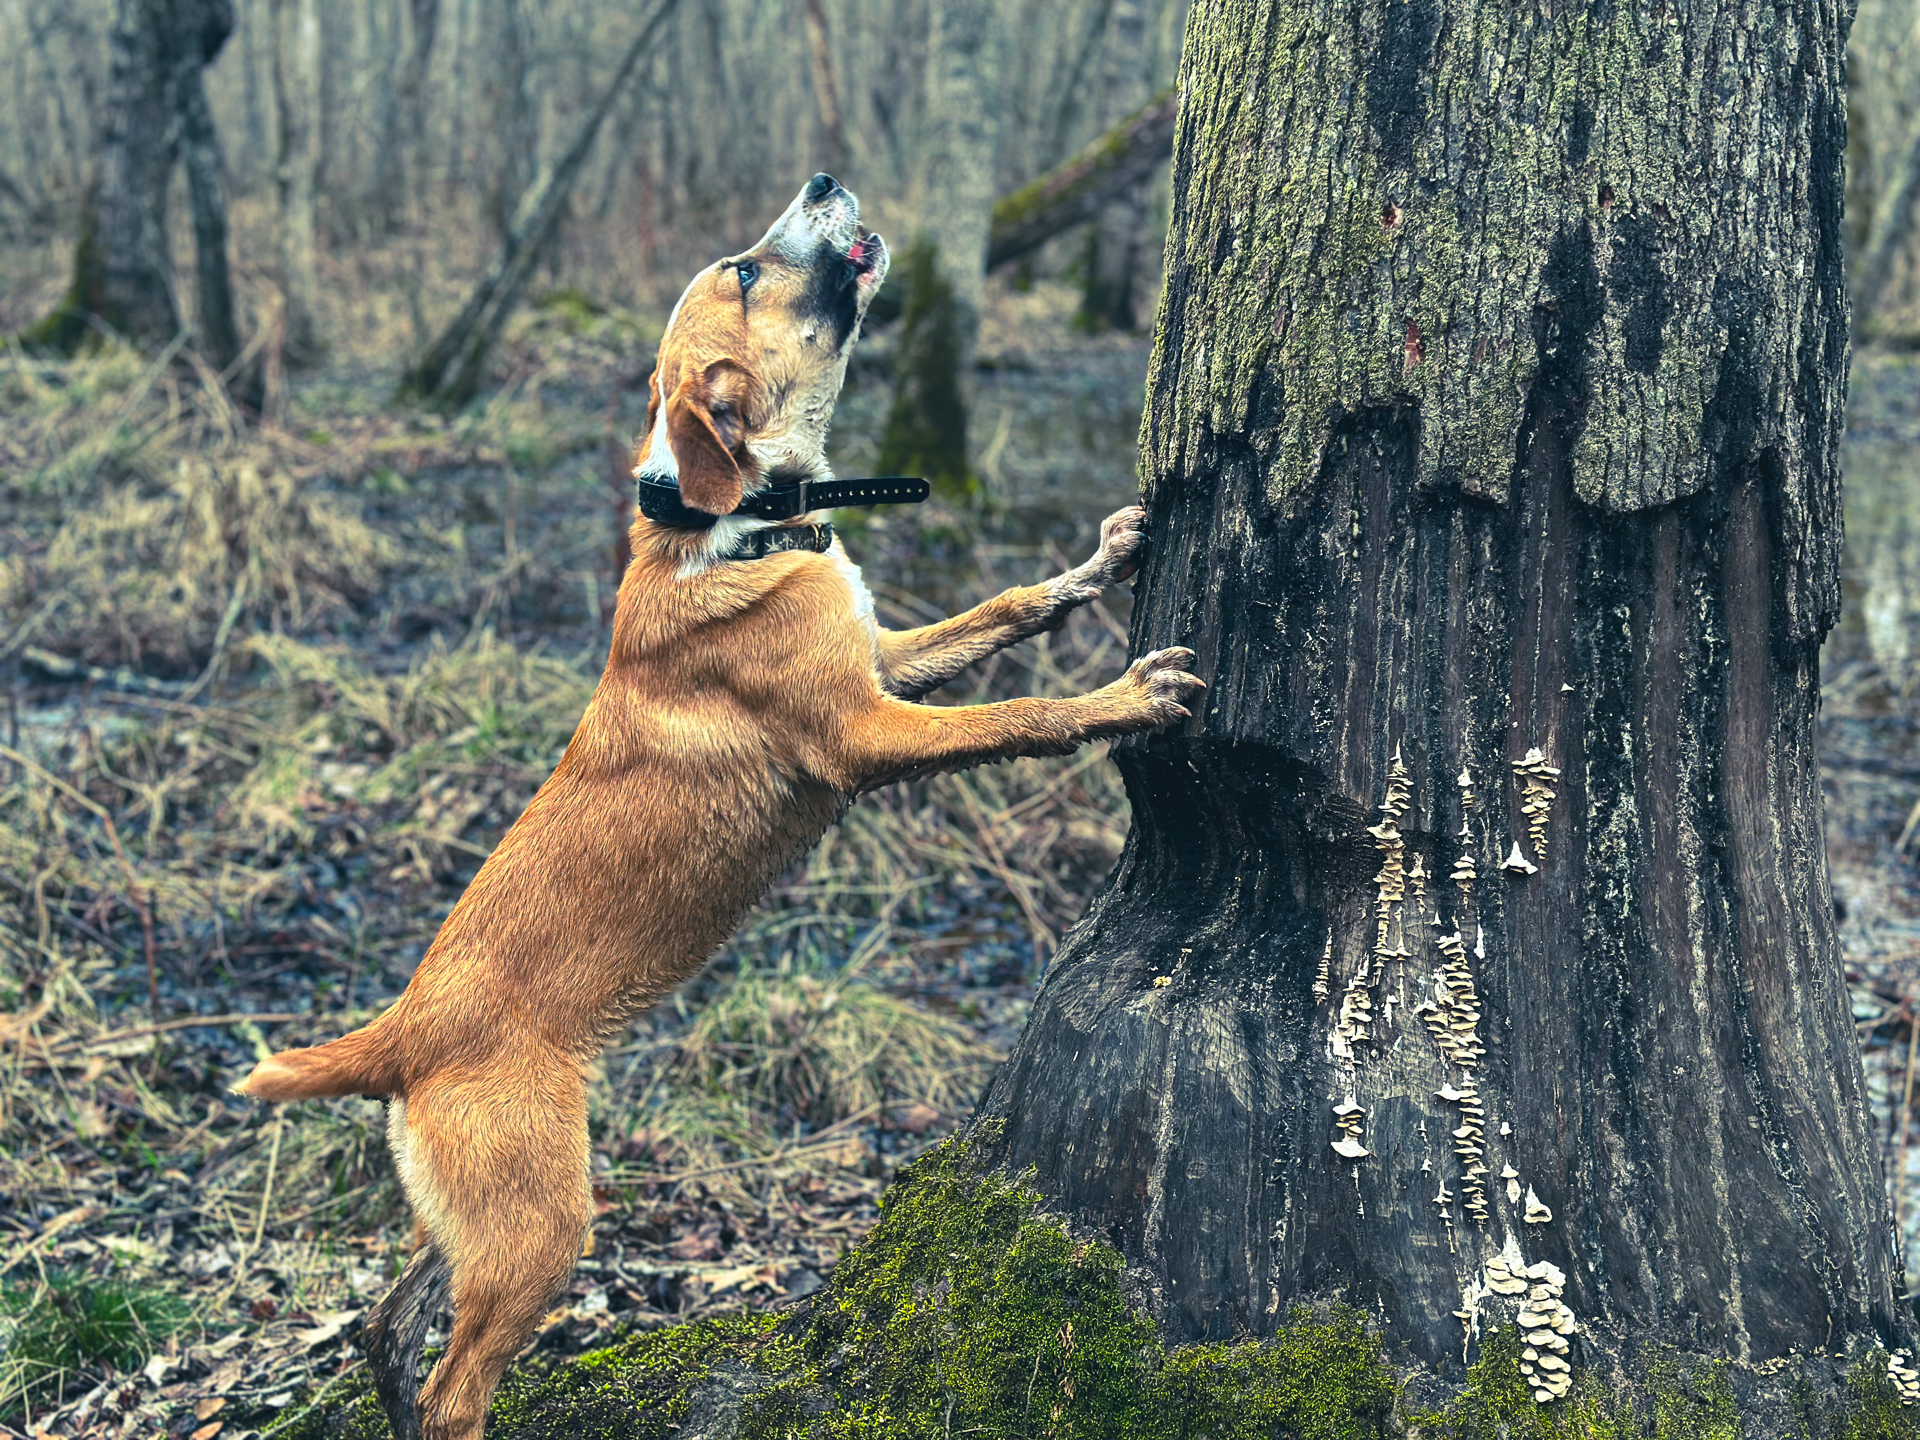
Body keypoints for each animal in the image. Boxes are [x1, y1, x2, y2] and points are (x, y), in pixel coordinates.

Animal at [236, 177, 1198, 1440]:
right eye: (744, 269)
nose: (826, 180)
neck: (724, 522)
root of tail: (398, 1036)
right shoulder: (866, 735)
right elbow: (1024, 711)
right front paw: (1126, 696)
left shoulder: (884, 663)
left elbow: (1000, 612)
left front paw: (1098, 562)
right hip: (543, 1226)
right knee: (450, 1387)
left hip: (470, 1224)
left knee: (388, 1332)